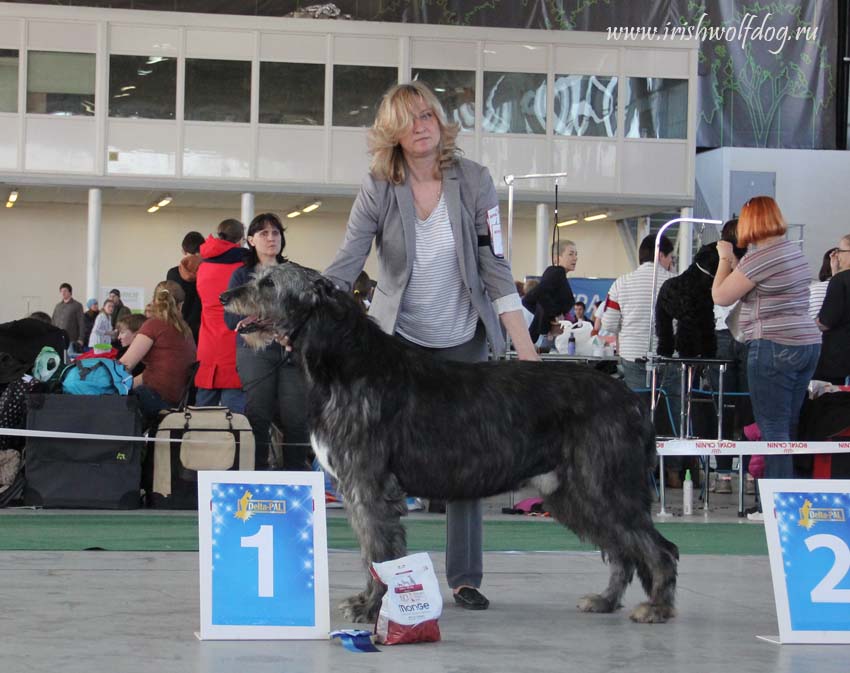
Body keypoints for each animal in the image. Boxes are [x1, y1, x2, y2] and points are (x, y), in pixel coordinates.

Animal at [222, 262, 680, 624]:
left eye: (269, 283)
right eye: (258, 277)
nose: (227, 295)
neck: (345, 362)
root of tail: (632, 401)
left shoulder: (368, 484)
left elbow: (378, 553)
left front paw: (373, 608)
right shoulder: (357, 488)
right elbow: (373, 552)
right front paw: (370, 602)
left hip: (604, 483)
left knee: (659, 548)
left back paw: (657, 607)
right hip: (573, 492)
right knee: (622, 550)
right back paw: (606, 600)